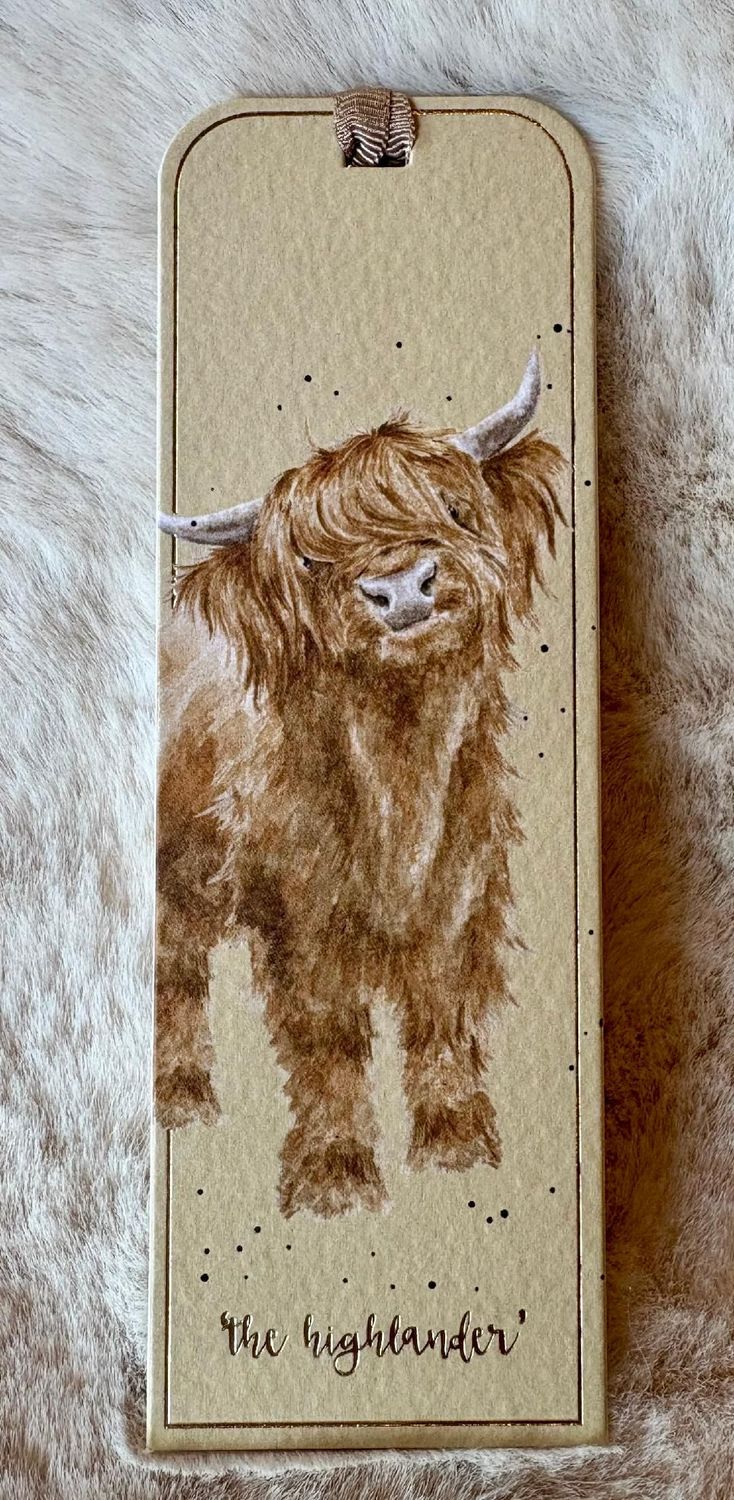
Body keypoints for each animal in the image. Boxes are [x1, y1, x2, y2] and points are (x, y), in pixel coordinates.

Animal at [156, 351, 565, 1218]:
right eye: (312, 560)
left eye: (454, 508)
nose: (404, 588)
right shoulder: (301, 918)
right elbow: (330, 1038)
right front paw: (334, 1177)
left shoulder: (462, 889)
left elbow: (444, 1014)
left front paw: (455, 1145)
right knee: (175, 974)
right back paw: (179, 1098)